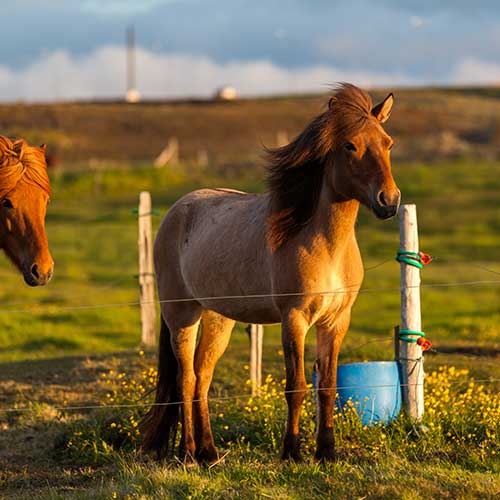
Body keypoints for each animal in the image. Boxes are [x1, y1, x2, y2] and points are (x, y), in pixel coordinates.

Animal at [143, 84, 400, 462]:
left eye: (388, 143)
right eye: (350, 145)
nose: (389, 201)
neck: (324, 245)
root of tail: (176, 212)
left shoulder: (336, 321)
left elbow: (328, 386)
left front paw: (327, 452)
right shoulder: (294, 318)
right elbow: (296, 386)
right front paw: (291, 452)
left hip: (219, 318)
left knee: (203, 375)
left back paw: (209, 452)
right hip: (182, 314)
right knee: (186, 378)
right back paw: (188, 452)